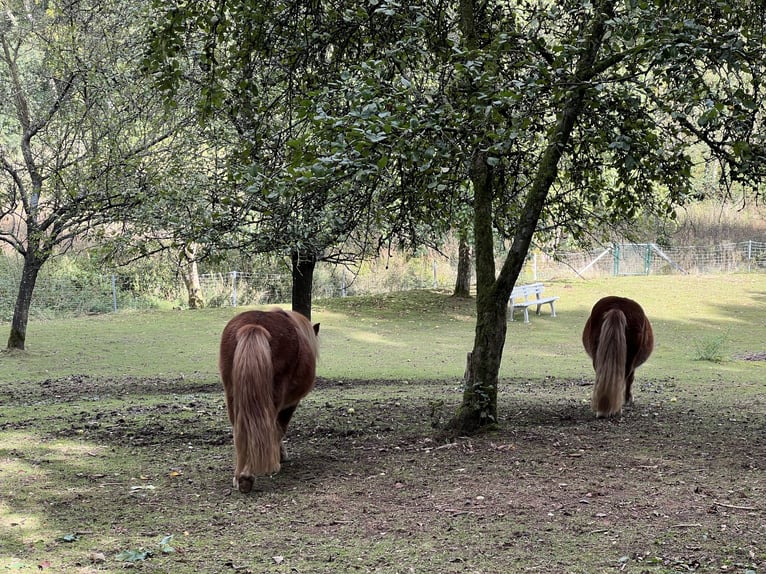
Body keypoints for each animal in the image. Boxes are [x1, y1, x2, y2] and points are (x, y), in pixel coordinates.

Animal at [219, 310, 320, 496]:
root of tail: (255, 326)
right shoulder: (290, 404)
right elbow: (279, 429)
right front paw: (279, 457)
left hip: (232, 395)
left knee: (241, 430)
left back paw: (239, 476)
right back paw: (247, 476)